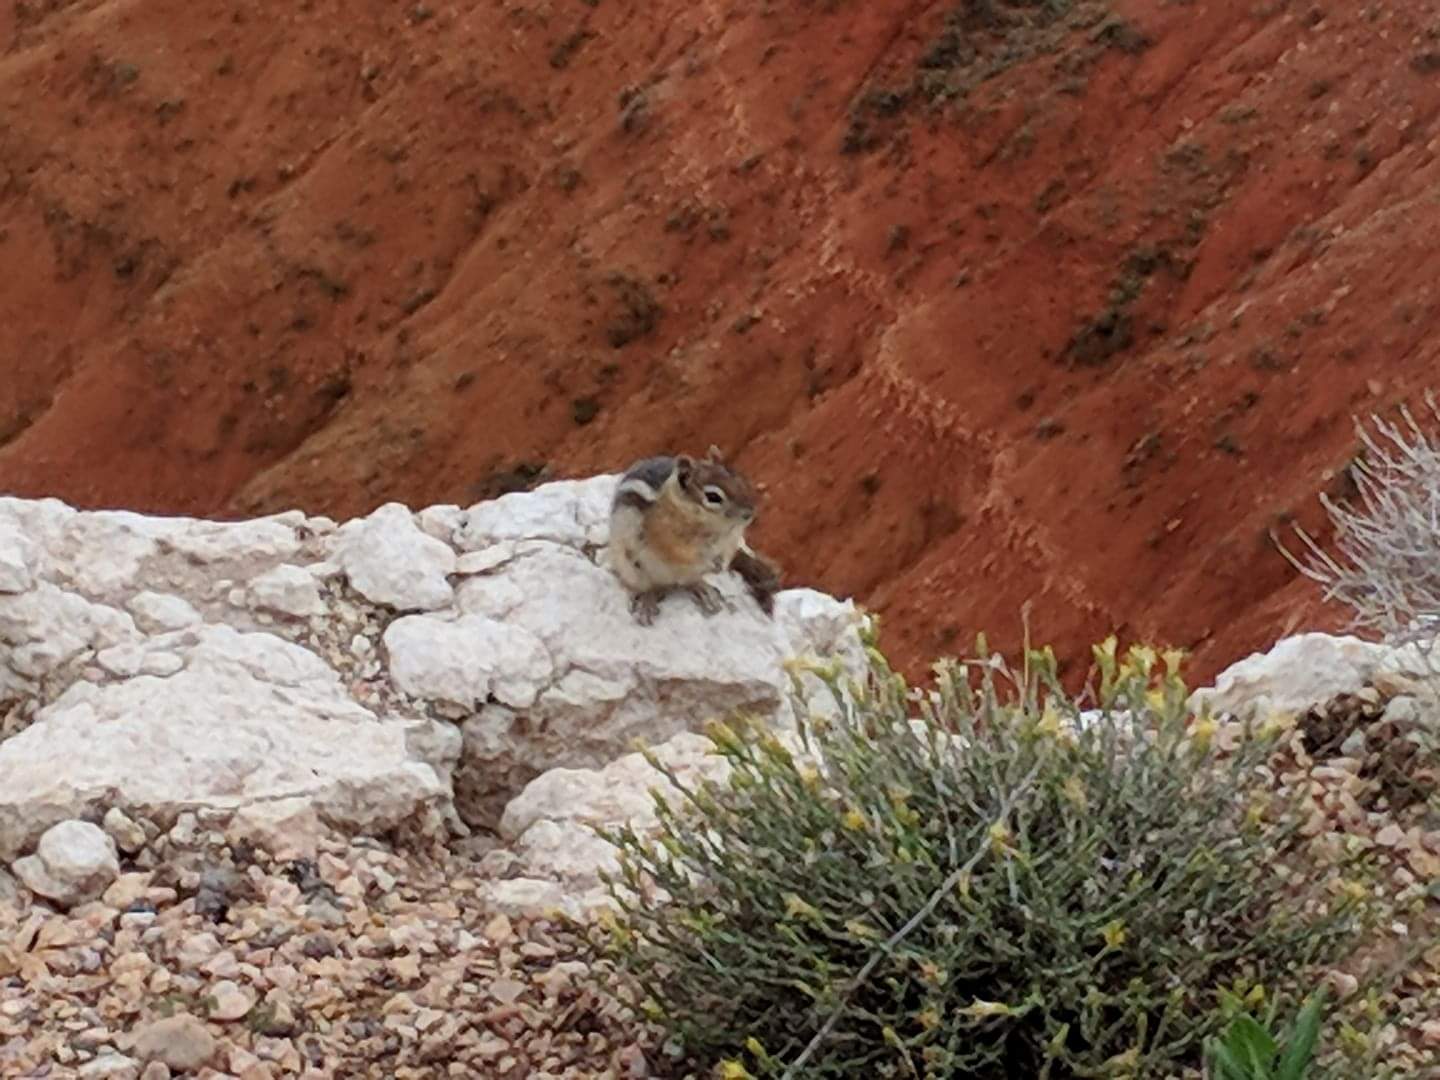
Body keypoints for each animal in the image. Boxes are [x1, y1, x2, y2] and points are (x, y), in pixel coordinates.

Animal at [607, 446, 782, 625]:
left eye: (741, 479)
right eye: (713, 497)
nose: (750, 513)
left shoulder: (731, 539)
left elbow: (726, 552)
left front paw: (719, 563)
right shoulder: (671, 541)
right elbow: (683, 554)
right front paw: (709, 562)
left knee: (690, 581)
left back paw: (704, 591)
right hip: (632, 569)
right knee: (649, 587)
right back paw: (647, 603)